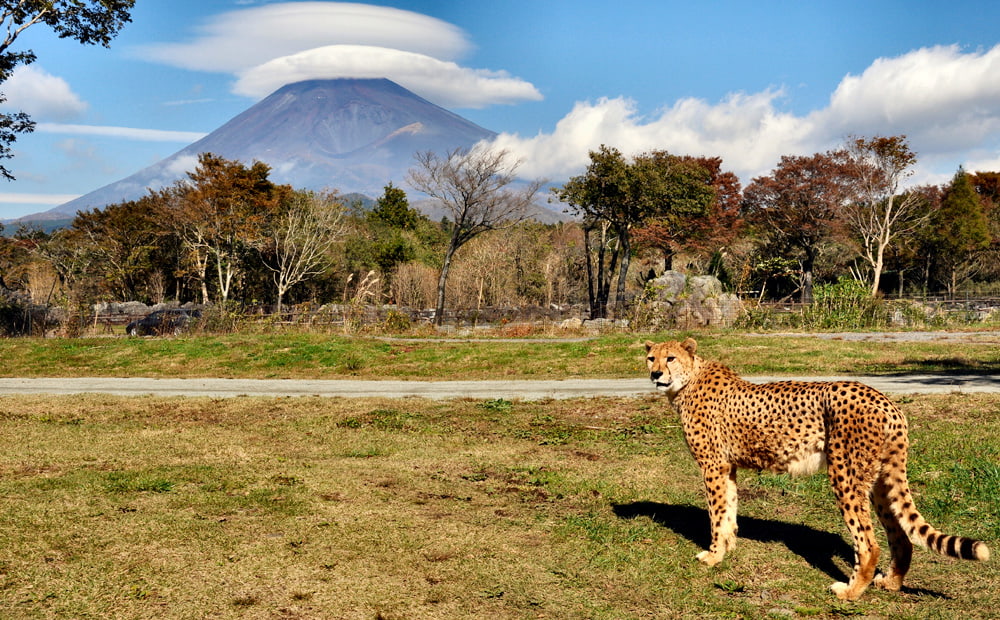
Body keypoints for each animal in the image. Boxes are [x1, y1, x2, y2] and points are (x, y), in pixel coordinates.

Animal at [644, 340, 988, 600]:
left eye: (670, 357)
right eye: (651, 357)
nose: (655, 374)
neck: (688, 380)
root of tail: (886, 401)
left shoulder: (713, 466)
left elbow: (717, 515)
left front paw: (713, 555)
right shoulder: (728, 468)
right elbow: (728, 512)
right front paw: (726, 550)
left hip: (845, 476)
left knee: (869, 543)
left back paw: (850, 592)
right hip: (879, 481)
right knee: (900, 537)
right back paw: (890, 583)